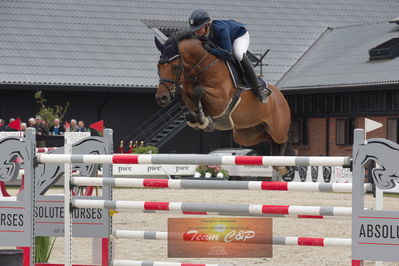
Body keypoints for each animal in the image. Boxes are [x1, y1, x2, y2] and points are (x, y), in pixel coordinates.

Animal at [155, 30, 296, 164]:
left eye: (174, 67)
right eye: (158, 67)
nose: (161, 98)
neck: (201, 67)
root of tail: (281, 97)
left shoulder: (220, 102)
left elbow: (198, 91)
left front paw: (202, 119)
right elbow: (182, 94)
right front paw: (194, 117)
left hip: (278, 131)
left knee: (282, 143)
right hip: (247, 134)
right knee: (268, 139)